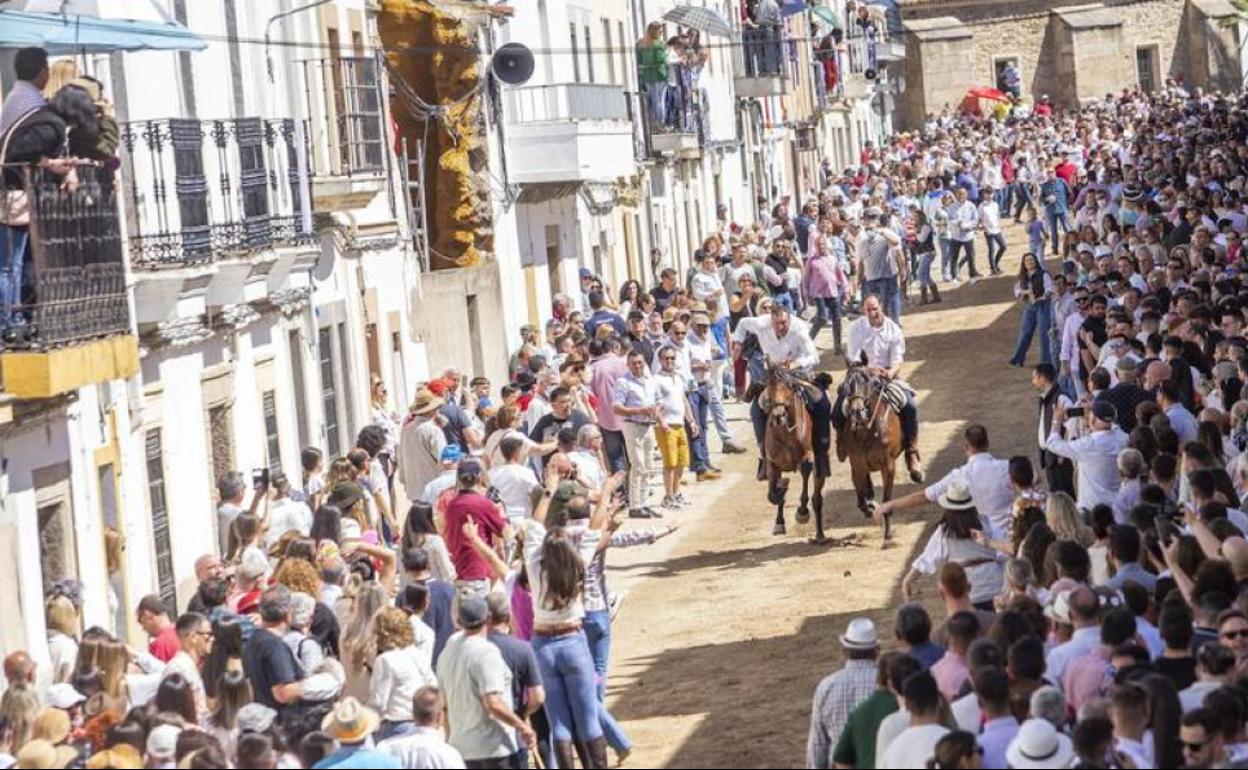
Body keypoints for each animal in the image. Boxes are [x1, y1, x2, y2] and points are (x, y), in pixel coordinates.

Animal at [758, 366, 828, 541]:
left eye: (789, 385)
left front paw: (802, 512)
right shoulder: (772, 464)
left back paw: (820, 534)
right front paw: (781, 490)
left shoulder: (807, 458)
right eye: (768, 384)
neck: (785, 432)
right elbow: (773, 495)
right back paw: (779, 522)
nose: (778, 415)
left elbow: (805, 471)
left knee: (817, 499)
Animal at [838, 364, 908, 536]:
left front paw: (888, 533)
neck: (867, 430)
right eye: (846, 384)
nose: (858, 412)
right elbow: (861, 497)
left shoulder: (888, 465)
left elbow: (887, 498)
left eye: (866, 381)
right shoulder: (857, 464)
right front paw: (870, 508)